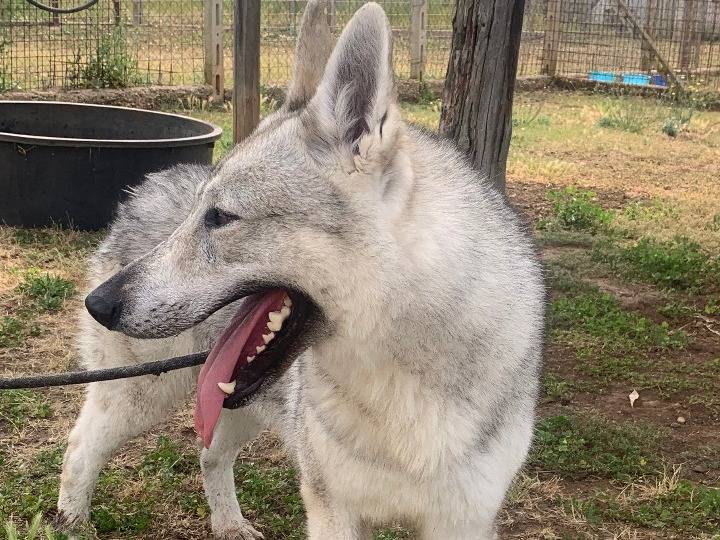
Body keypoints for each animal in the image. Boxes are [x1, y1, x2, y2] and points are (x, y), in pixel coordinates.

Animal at [56, 2, 545, 538]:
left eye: (220, 217)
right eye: (202, 212)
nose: (99, 303)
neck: (401, 382)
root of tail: (146, 187)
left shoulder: (462, 520)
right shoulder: (331, 509)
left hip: (234, 406)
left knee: (209, 455)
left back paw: (229, 523)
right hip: (142, 397)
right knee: (81, 443)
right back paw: (73, 520)